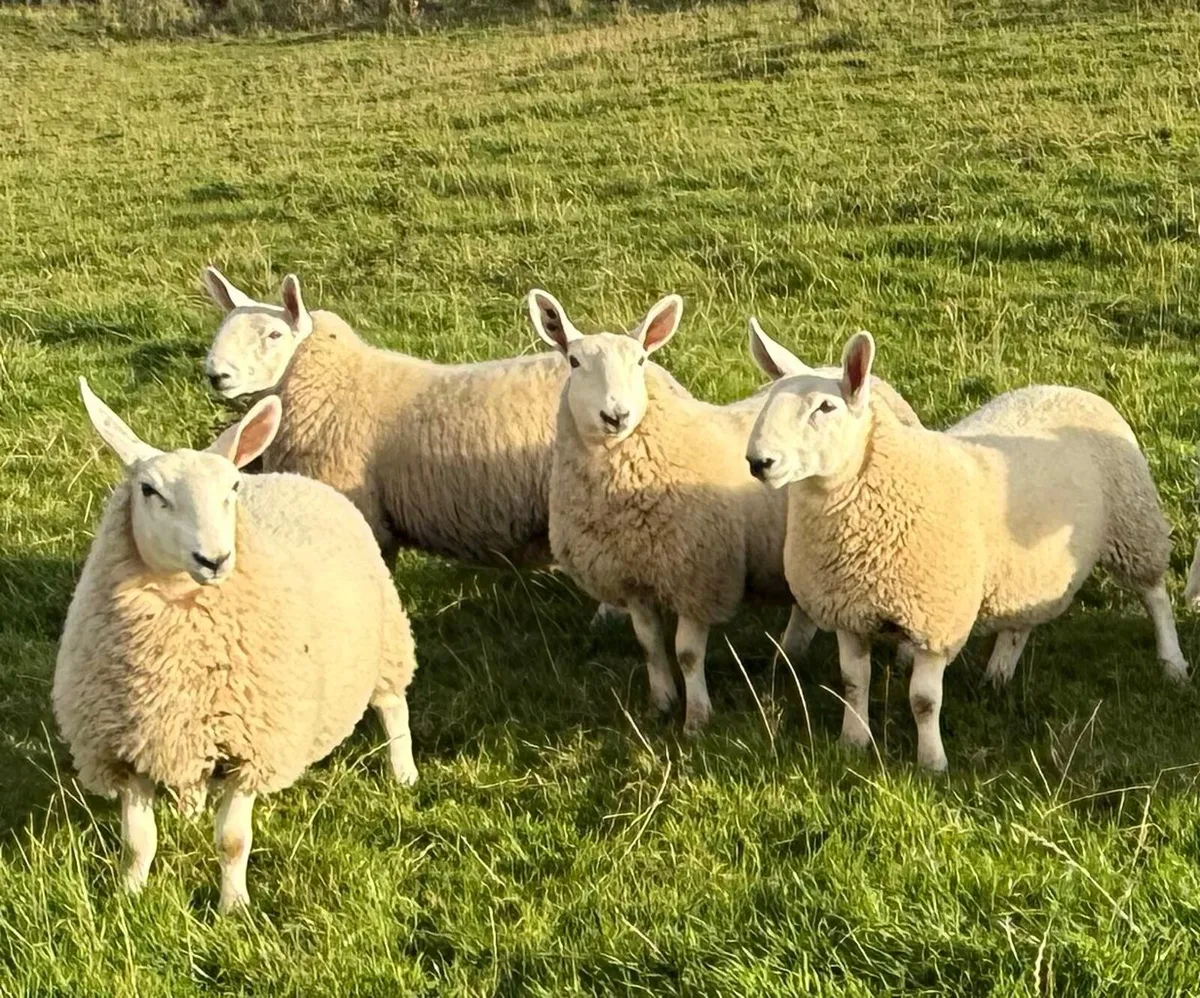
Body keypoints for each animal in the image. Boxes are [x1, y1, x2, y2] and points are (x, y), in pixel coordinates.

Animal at [53, 381, 418, 912]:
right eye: (149, 491)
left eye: (232, 490)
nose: (215, 558)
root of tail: (291, 476)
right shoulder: (124, 749)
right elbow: (137, 841)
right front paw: (129, 897)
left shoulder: (253, 745)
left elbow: (232, 840)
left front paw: (233, 906)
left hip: (386, 639)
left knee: (393, 706)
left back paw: (403, 771)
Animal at [529, 291, 922, 733]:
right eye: (574, 362)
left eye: (641, 361)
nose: (616, 416)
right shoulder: (633, 577)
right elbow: (650, 646)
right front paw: (661, 703)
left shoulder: (699, 577)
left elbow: (686, 653)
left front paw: (697, 718)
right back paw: (787, 657)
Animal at [745, 328, 1188, 772]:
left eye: (826, 407)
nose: (758, 461)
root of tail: (1070, 389)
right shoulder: (848, 612)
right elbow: (854, 683)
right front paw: (852, 743)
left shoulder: (936, 620)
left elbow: (924, 700)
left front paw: (932, 762)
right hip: (1030, 568)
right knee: (1020, 621)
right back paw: (998, 674)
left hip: (1132, 523)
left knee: (1154, 595)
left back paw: (1172, 663)